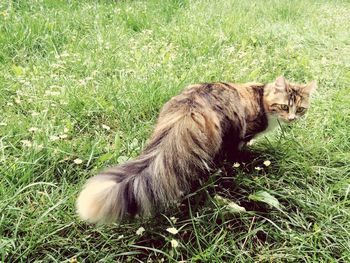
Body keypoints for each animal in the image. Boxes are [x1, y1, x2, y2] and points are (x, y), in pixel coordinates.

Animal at [76, 75, 318, 224]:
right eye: (285, 106)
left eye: (300, 109)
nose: (292, 119)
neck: (263, 96)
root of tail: (192, 105)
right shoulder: (247, 130)